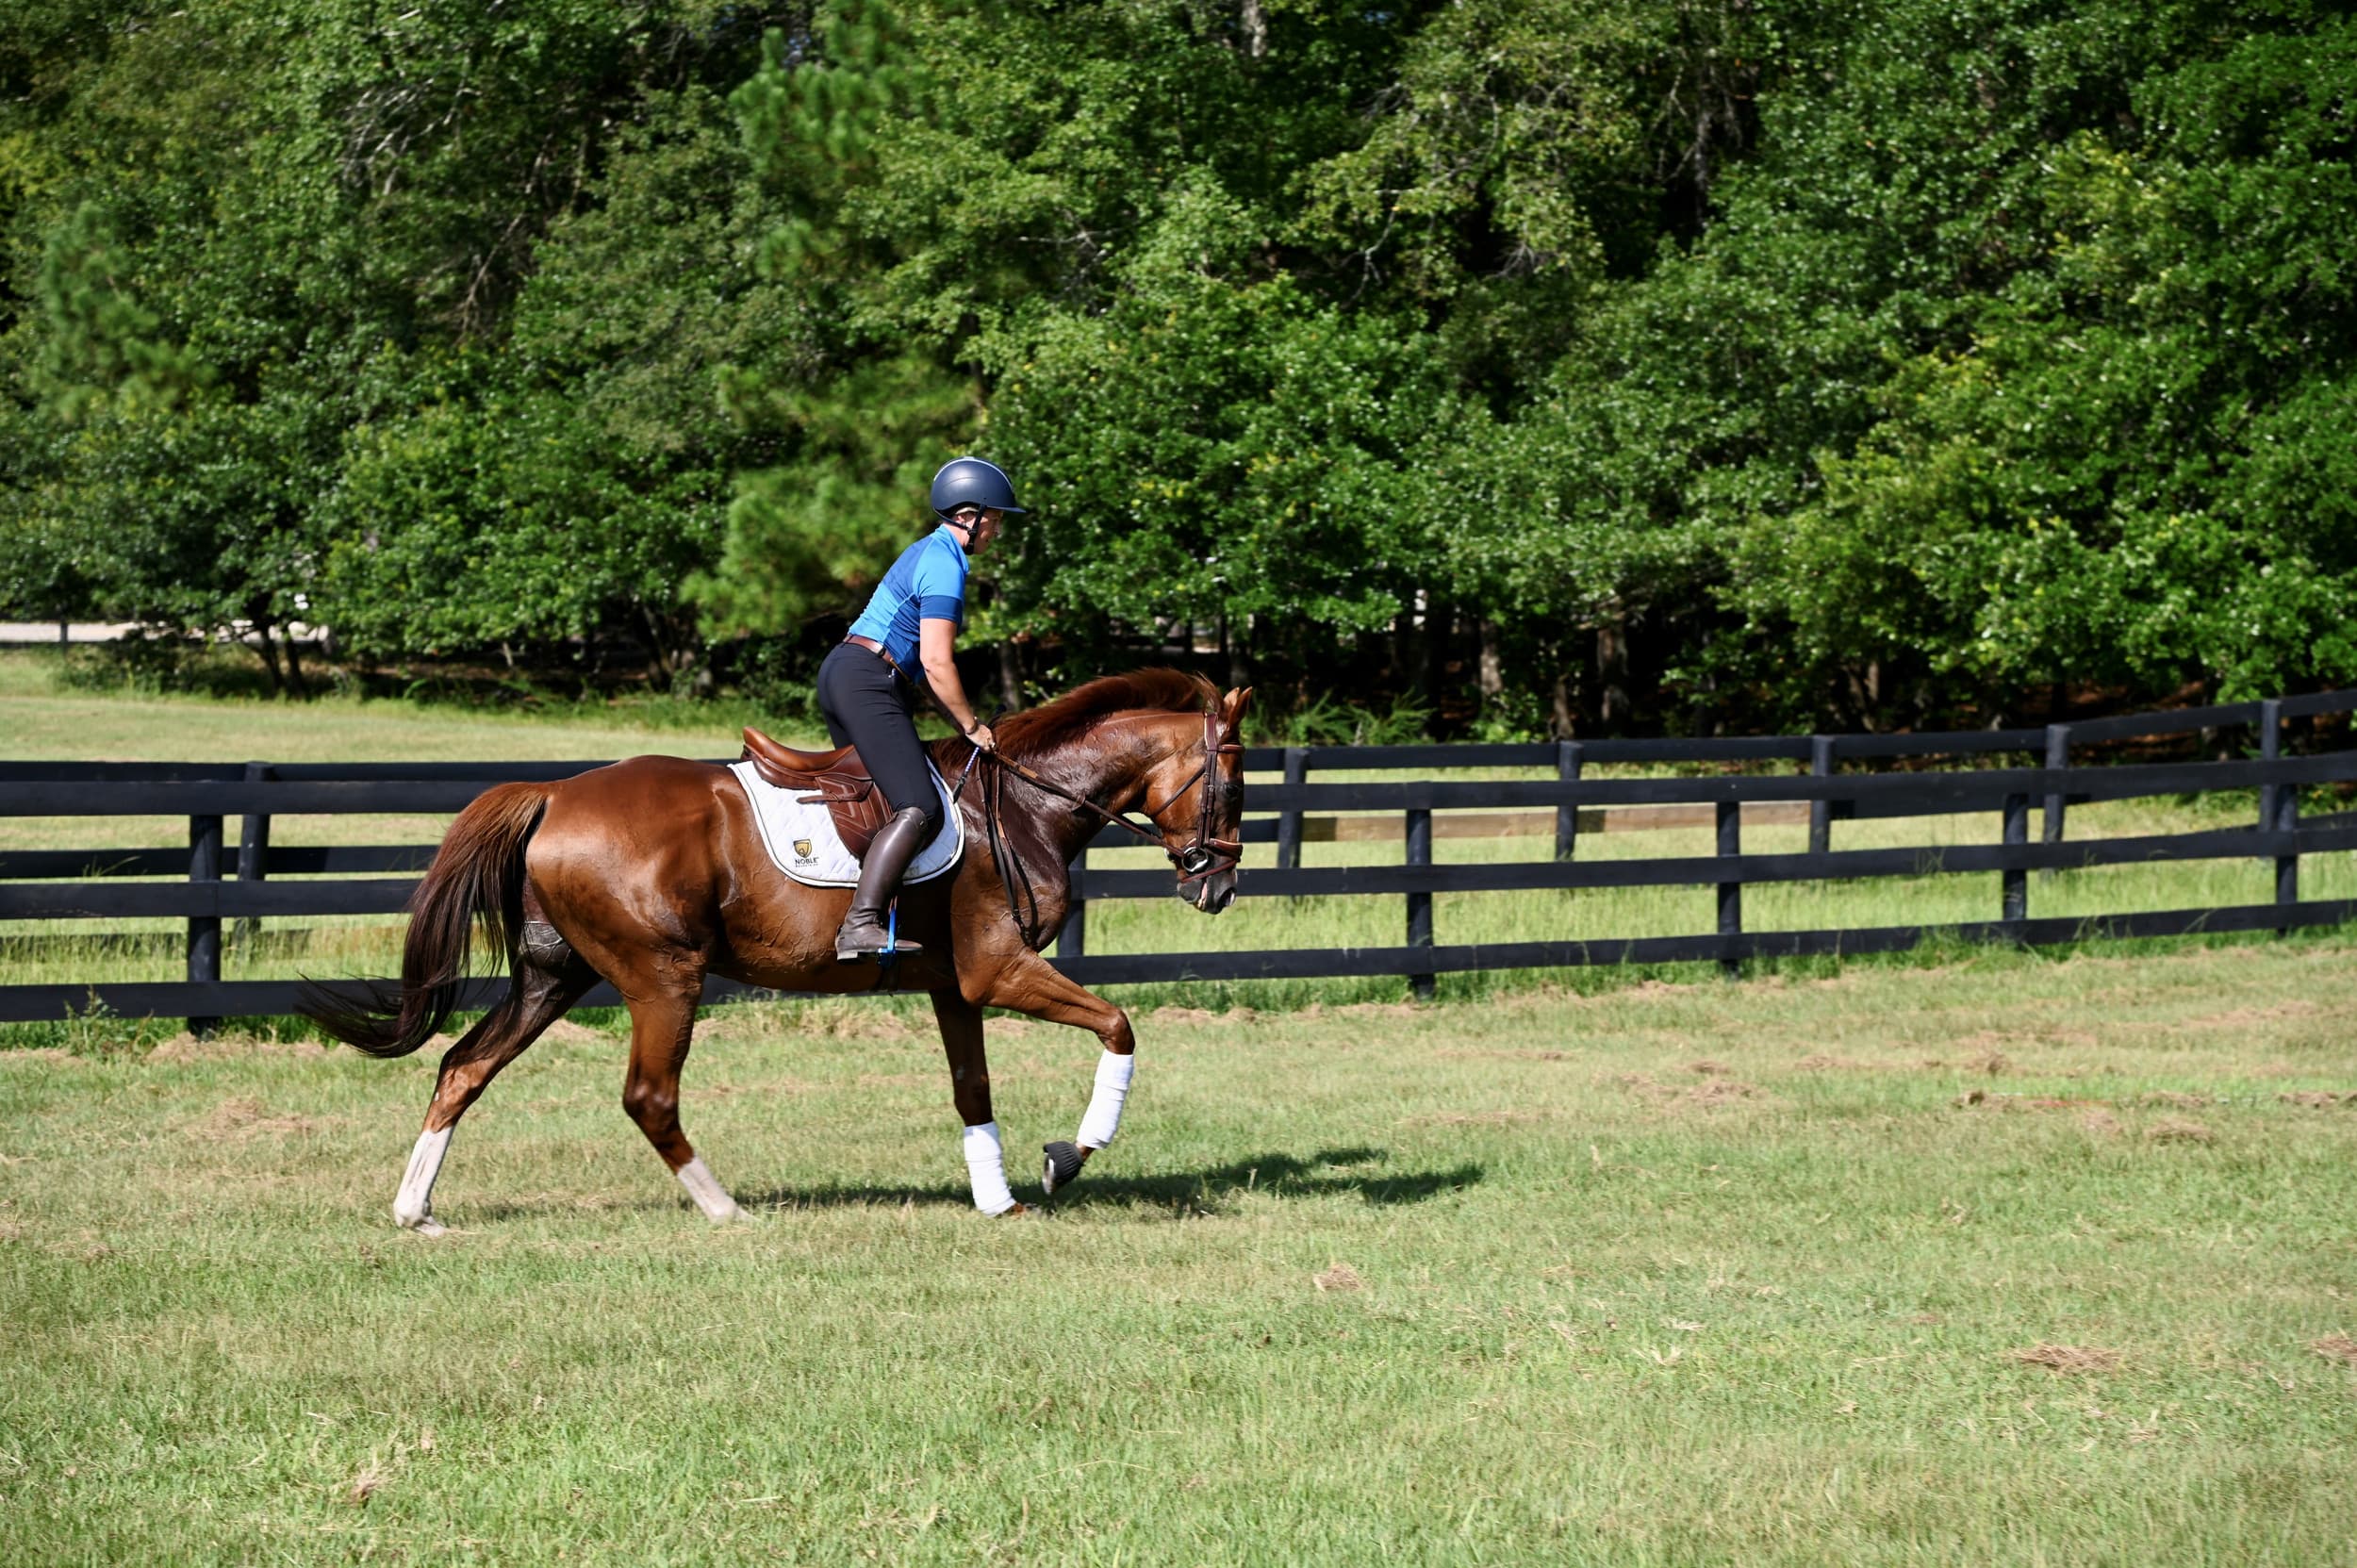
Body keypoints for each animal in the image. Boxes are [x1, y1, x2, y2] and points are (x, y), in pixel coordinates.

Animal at [302, 669, 1251, 1232]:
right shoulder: (999, 970)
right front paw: (1066, 1158)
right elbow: (1119, 1026)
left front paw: (998, 1197)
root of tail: (555, 794)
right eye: (1237, 784)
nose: (1217, 890)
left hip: (551, 977)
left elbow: (972, 1088)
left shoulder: (956, 986)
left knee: (463, 1066)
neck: (1024, 803)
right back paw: (727, 1209)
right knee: (649, 1096)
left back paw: (415, 1209)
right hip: (663, 976)